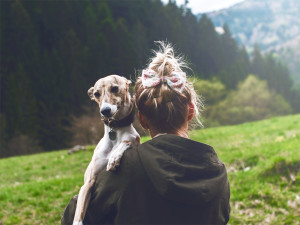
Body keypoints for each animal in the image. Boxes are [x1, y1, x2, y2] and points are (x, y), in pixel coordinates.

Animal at [72, 75, 139, 225]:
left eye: (114, 88)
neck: (115, 131)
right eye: (96, 94)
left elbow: (128, 141)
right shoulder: (87, 184)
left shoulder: (134, 138)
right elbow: (78, 213)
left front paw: (114, 158)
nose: (105, 110)